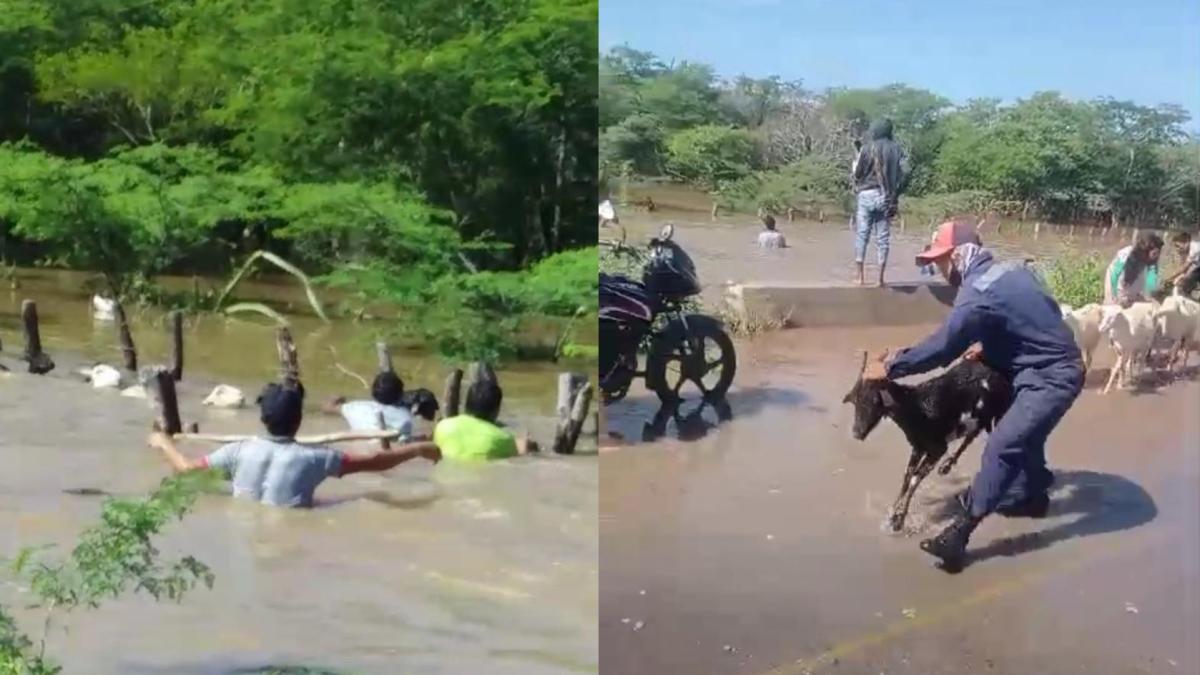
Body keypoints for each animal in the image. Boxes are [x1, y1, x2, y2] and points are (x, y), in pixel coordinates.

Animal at [844, 353, 1012, 530]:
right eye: (855, 401)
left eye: (875, 401)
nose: (857, 432)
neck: (917, 408)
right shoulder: (918, 447)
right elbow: (907, 475)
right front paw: (892, 514)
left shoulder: (937, 449)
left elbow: (914, 479)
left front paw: (899, 520)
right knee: (972, 434)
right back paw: (946, 466)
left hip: (999, 413)